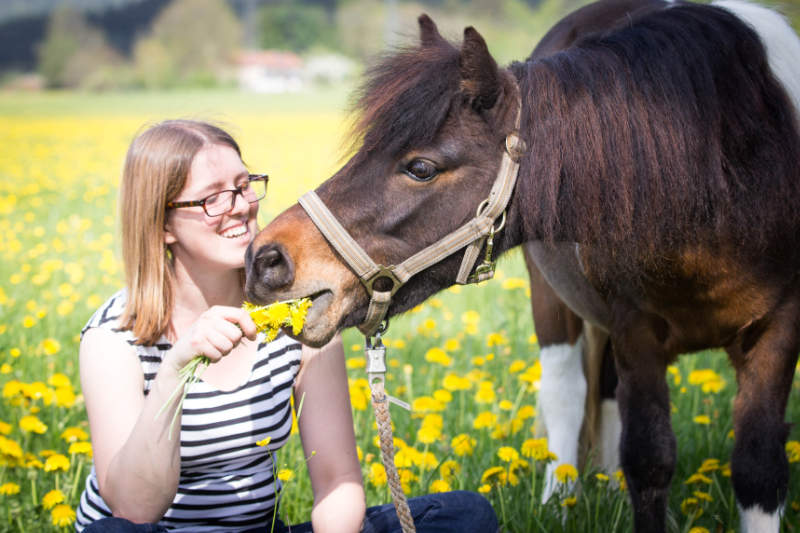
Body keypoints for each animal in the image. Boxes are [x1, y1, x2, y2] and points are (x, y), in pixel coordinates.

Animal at [244, 2, 800, 528]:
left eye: (420, 167)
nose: (265, 259)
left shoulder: (777, 330)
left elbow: (758, 467)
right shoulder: (634, 330)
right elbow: (649, 461)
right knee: (567, 392)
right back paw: (562, 501)